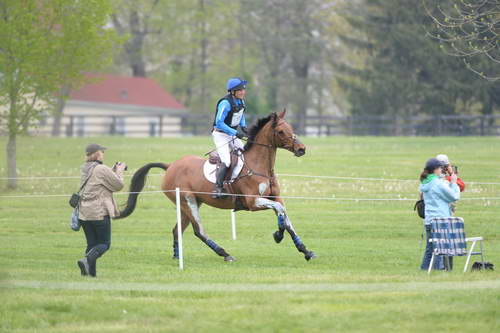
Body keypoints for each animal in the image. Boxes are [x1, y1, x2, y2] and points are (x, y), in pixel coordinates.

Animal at [116, 110, 316, 260]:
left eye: (291, 128)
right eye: (281, 131)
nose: (301, 149)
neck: (260, 166)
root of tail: (170, 165)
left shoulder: (276, 198)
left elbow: (285, 217)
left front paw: (304, 250)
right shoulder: (253, 202)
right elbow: (280, 212)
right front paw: (278, 235)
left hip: (189, 204)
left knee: (177, 230)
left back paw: (177, 256)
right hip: (188, 201)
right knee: (199, 231)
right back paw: (225, 254)